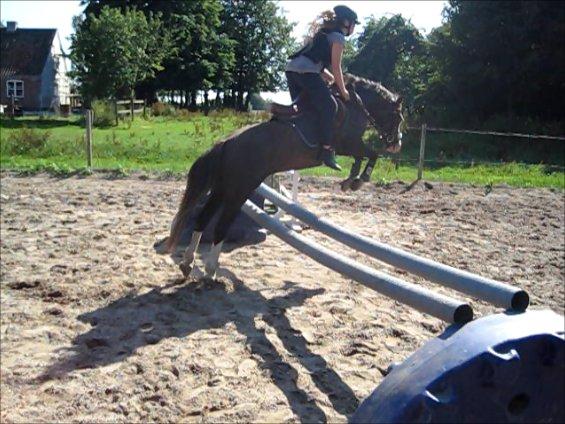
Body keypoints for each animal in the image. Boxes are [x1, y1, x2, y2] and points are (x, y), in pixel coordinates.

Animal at [165, 73, 404, 278]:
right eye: (398, 117)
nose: (396, 145)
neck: (357, 105)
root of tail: (226, 143)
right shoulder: (349, 144)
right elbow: (371, 154)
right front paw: (357, 181)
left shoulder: (351, 146)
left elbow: (364, 157)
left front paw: (350, 180)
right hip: (240, 189)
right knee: (221, 225)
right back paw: (211, 270)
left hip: (221, 189)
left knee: (203, 218)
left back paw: (188, 264)